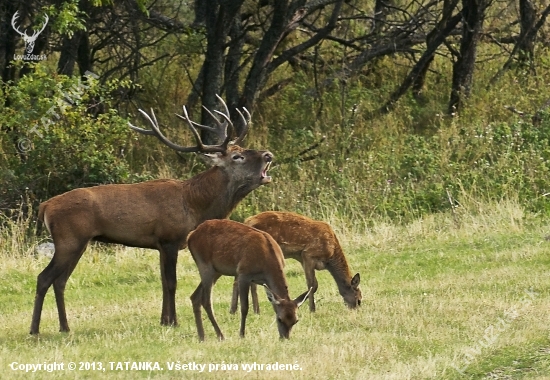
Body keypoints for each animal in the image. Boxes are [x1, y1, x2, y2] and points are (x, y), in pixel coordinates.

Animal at [232, 209, 364, 314]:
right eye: (359, 299)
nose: (356, 310)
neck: (331, 257)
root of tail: (247, 221)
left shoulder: (301, 258)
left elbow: (314, 285)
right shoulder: (309, 254)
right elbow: (312, 285)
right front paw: (312, 309)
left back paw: (235, 311)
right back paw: (255, 310)